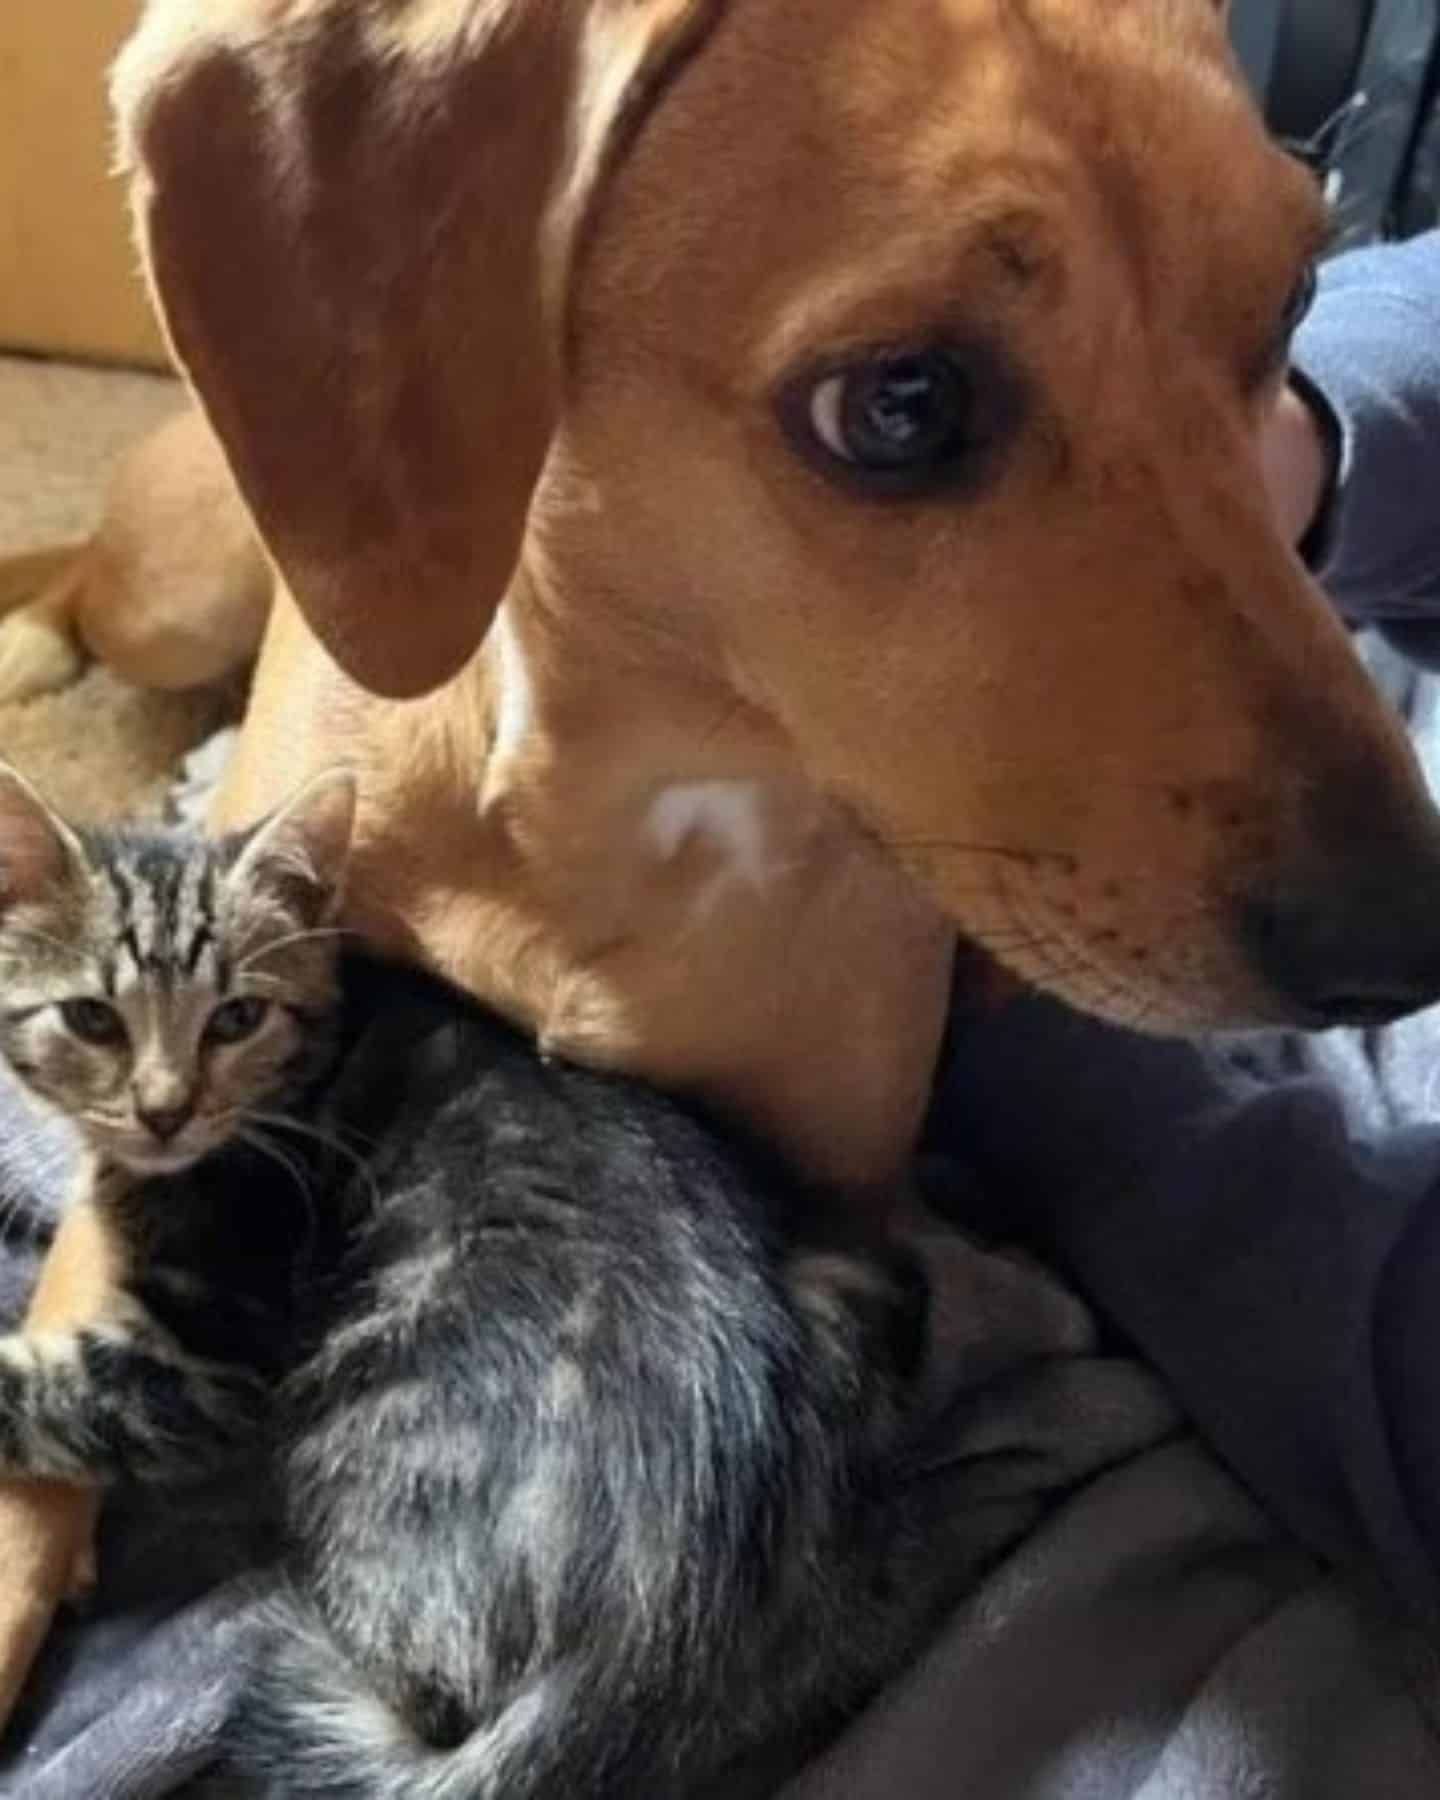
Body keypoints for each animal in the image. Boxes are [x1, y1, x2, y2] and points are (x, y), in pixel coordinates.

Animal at [0, 763, 950, 1800]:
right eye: (92, 1018)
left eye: (236, 1018)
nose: (164, 1111)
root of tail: (649, 1634)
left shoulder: (211, 1360)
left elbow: (60, 1395)